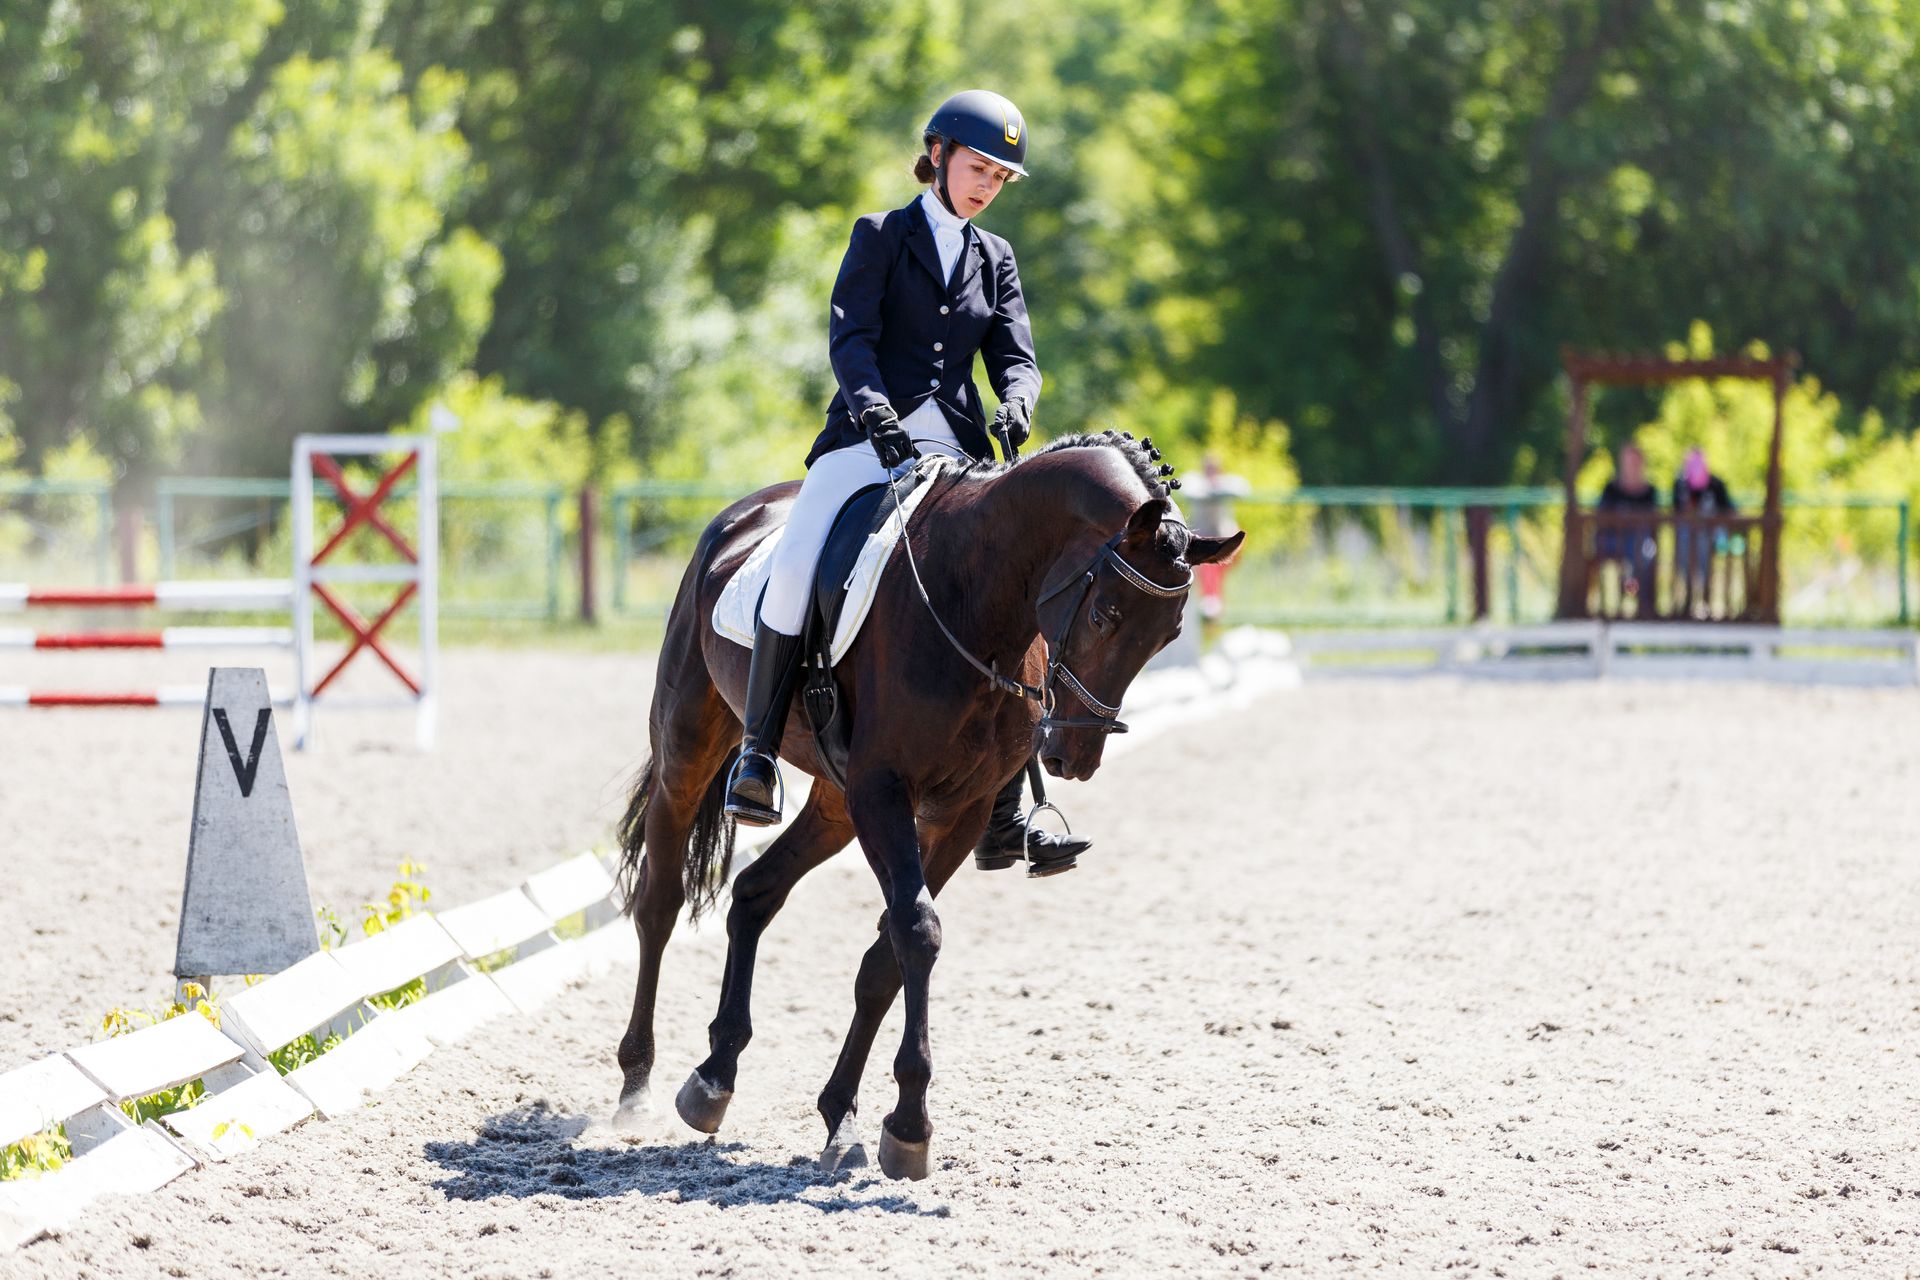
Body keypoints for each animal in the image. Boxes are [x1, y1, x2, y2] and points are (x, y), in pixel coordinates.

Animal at [611, 431, 1246, 1180]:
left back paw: (715, 1076)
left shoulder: (956, 810)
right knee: (660, 900)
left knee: (755, 893)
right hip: (691, 746)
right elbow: (916, 932)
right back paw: (636, 1084)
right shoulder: (884, 793)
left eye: (1170, 635)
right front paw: (911, 1122)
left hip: (835, 801)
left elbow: (887, 954)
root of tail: (741, 516)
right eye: (1104, 614)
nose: (1075, 757)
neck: (975, 597)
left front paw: (846, 1119)